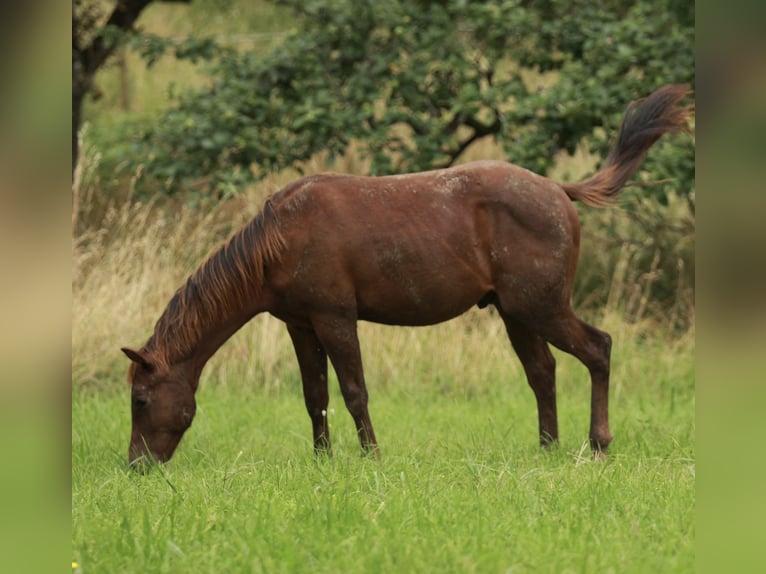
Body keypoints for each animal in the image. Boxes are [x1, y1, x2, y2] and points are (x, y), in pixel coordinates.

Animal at [121, 84, 696, 468]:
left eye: (141, 400)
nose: (137, 466)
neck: (280, 237)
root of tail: (559, 190)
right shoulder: (301, 324)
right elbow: (315, 395)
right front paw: (323, 462)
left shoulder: (335, 317)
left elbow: (354, 390)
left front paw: (371, 458)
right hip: (516, 312)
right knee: (543, 371)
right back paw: (547, 448)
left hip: (543, 306)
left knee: (598, 349)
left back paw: (597, 444)